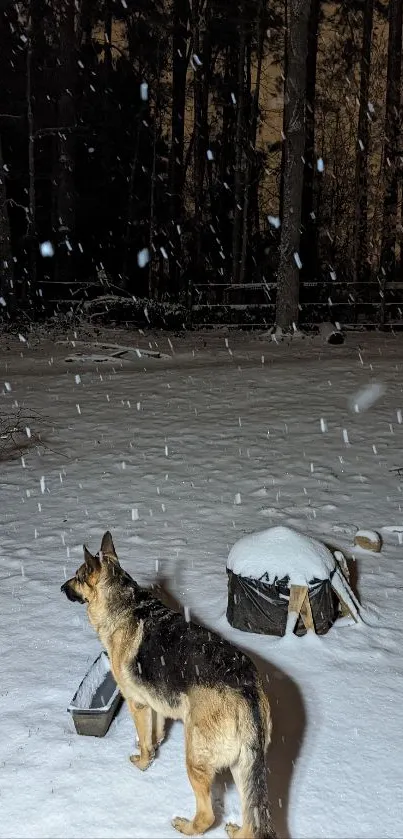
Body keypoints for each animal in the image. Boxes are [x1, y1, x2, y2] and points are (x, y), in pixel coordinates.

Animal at [61, 536, 276, 836]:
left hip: (195, 759)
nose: (61, 587)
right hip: (242, 767)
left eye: (78, 575)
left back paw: (186, 826)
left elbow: (145, 743)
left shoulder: (137, 703)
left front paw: (142, 764)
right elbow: (156, 734)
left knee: (208, 815)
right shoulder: (156, 705)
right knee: (252, 819)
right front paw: (153, 749)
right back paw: (236, 831)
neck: (125, 603)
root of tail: (248, 691)